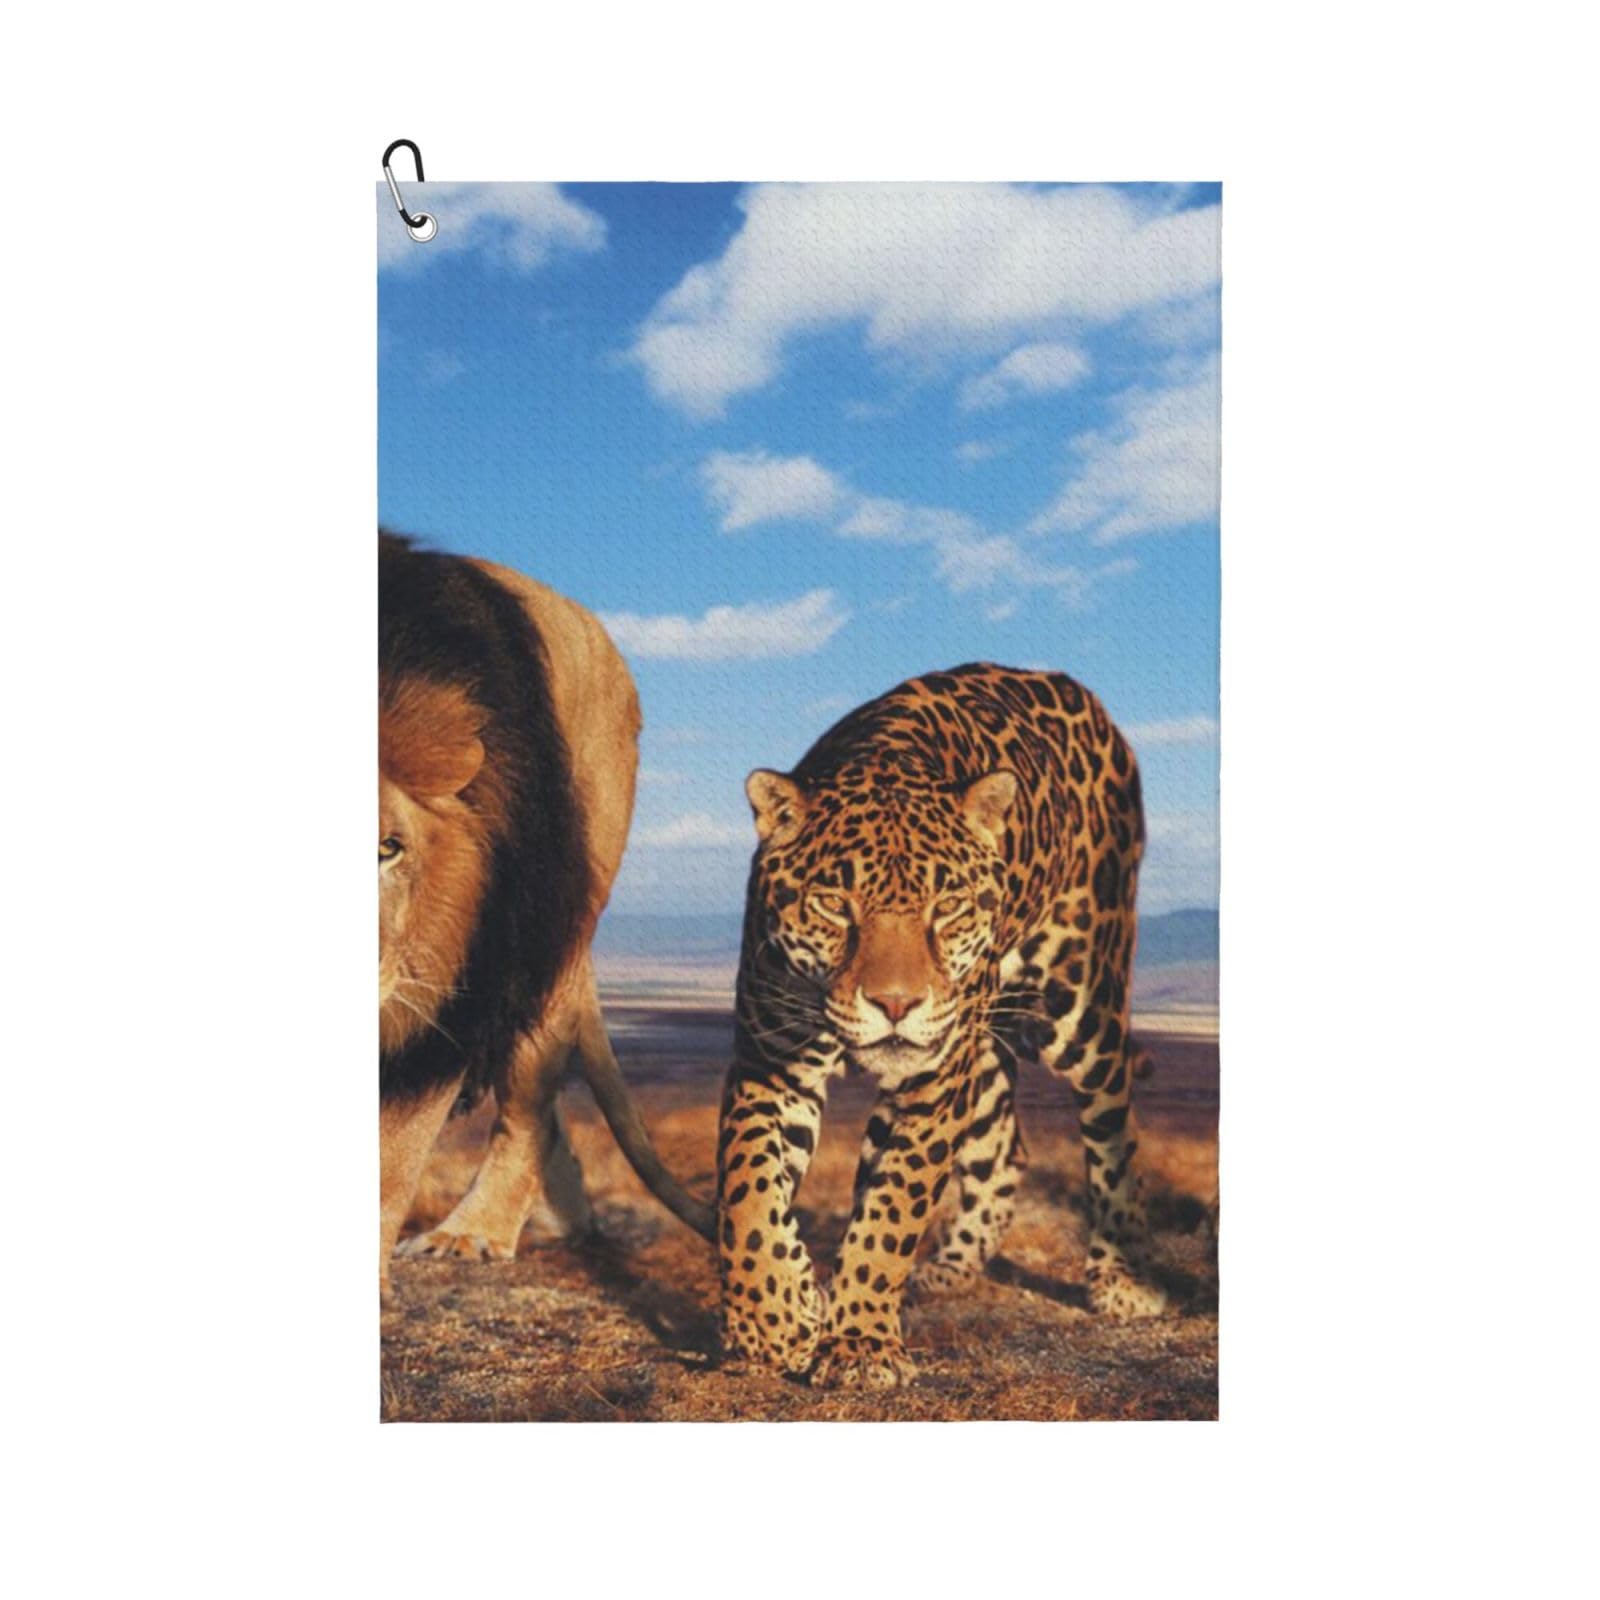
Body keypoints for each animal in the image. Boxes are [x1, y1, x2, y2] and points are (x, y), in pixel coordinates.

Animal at [378, 532, 713, 1283]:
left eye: (387, 848)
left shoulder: (457, 986)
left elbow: (392, 1156)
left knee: (527, 1107)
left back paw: (473, 1232)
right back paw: (569, 1215)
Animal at [716, 662, 1167, 1390]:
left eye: (947, 905)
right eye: (835, 904)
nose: (896, 1004)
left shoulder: (931, 1083)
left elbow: (892, 1209)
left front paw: (859, 1344)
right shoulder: (770, 1062)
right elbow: (749, 1190)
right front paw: (775, 1318)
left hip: (1080, 1002)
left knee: (1113, 1126)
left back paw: (1120, 1278)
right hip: (979, 1044)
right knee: (1005, 1147)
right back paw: (949, 1270)